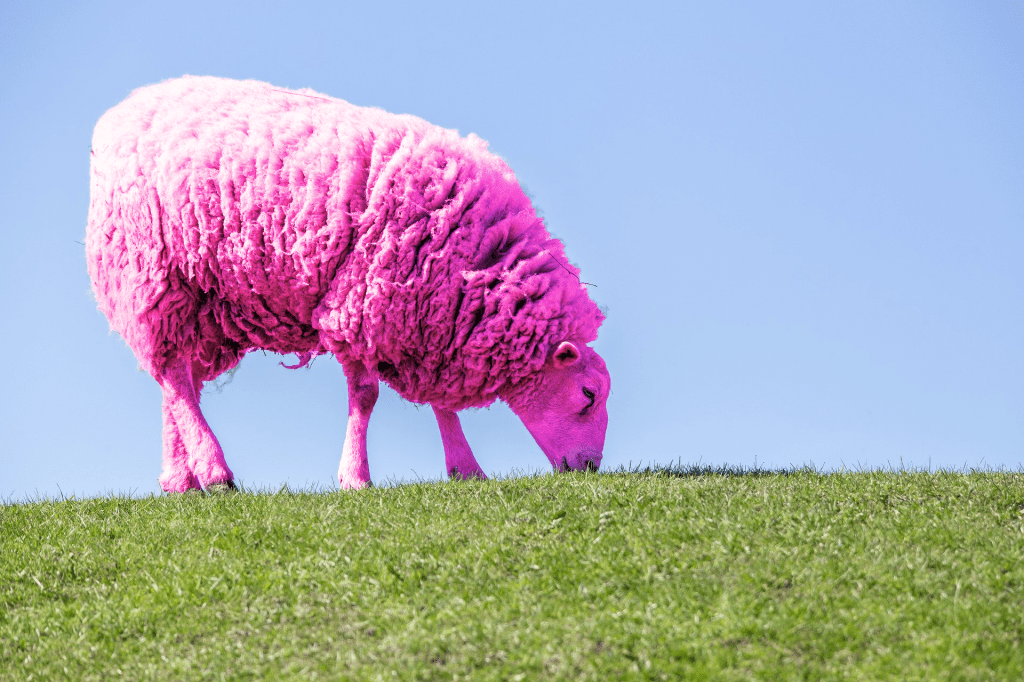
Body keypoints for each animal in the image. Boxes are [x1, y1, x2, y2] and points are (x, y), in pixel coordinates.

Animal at [86, 76, 610, 491]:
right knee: (174, 374)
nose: (589, 469)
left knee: (178, 379)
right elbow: (366, 395)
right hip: (151, 270)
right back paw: (214, 471)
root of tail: (123, 109)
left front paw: (466, 469)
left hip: (203, 300)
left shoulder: (429, 321)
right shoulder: (362, 303)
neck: (475, 260)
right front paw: (355, 477)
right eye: (588, 396)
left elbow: (440, 404)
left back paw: (180, 478)